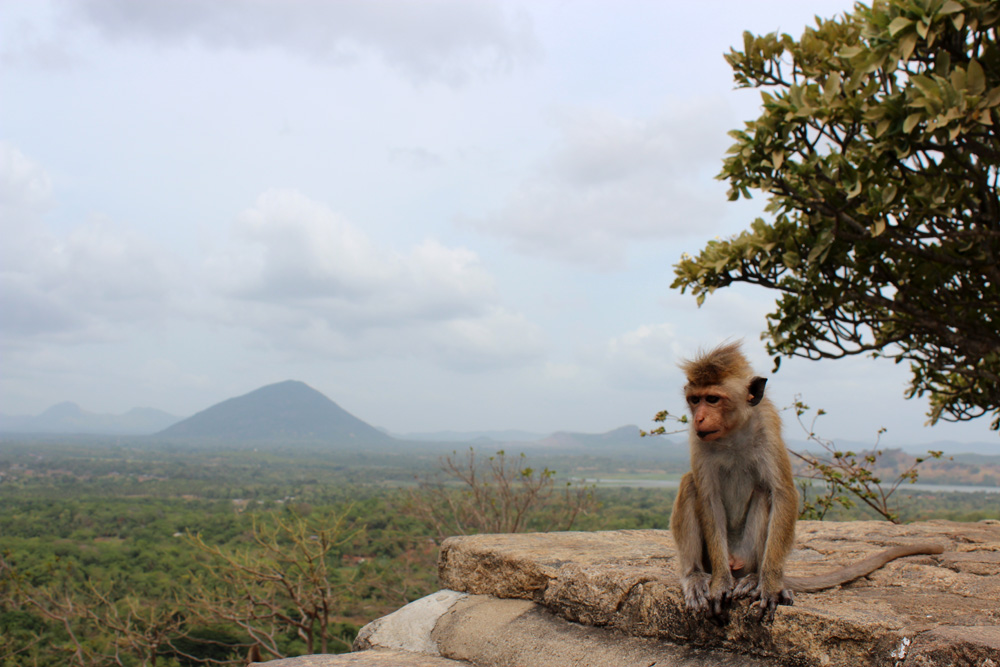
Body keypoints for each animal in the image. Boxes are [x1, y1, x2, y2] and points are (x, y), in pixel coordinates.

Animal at [672, 342, 944, 624]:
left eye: (713, 399)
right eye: (695, 400)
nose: (699, 418)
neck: (732, 433)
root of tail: (738, 563)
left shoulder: (767, 427)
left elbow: (782, 493)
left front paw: (770, 586)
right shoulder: (698, 439)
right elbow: (709, 497)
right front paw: (720, 583)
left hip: (748, 554)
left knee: (764, 492)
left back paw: (755, 579)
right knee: (690, 484)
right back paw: (696, 576)